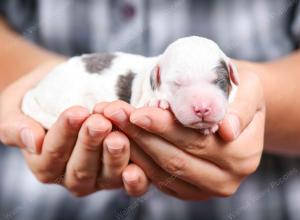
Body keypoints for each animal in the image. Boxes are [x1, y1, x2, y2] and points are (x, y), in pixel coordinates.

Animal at [21, 36, 239, 134]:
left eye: (219, 81)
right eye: (177, 84)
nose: (202, 109)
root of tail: (37, 90)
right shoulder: (141, 99)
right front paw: (158, 103)